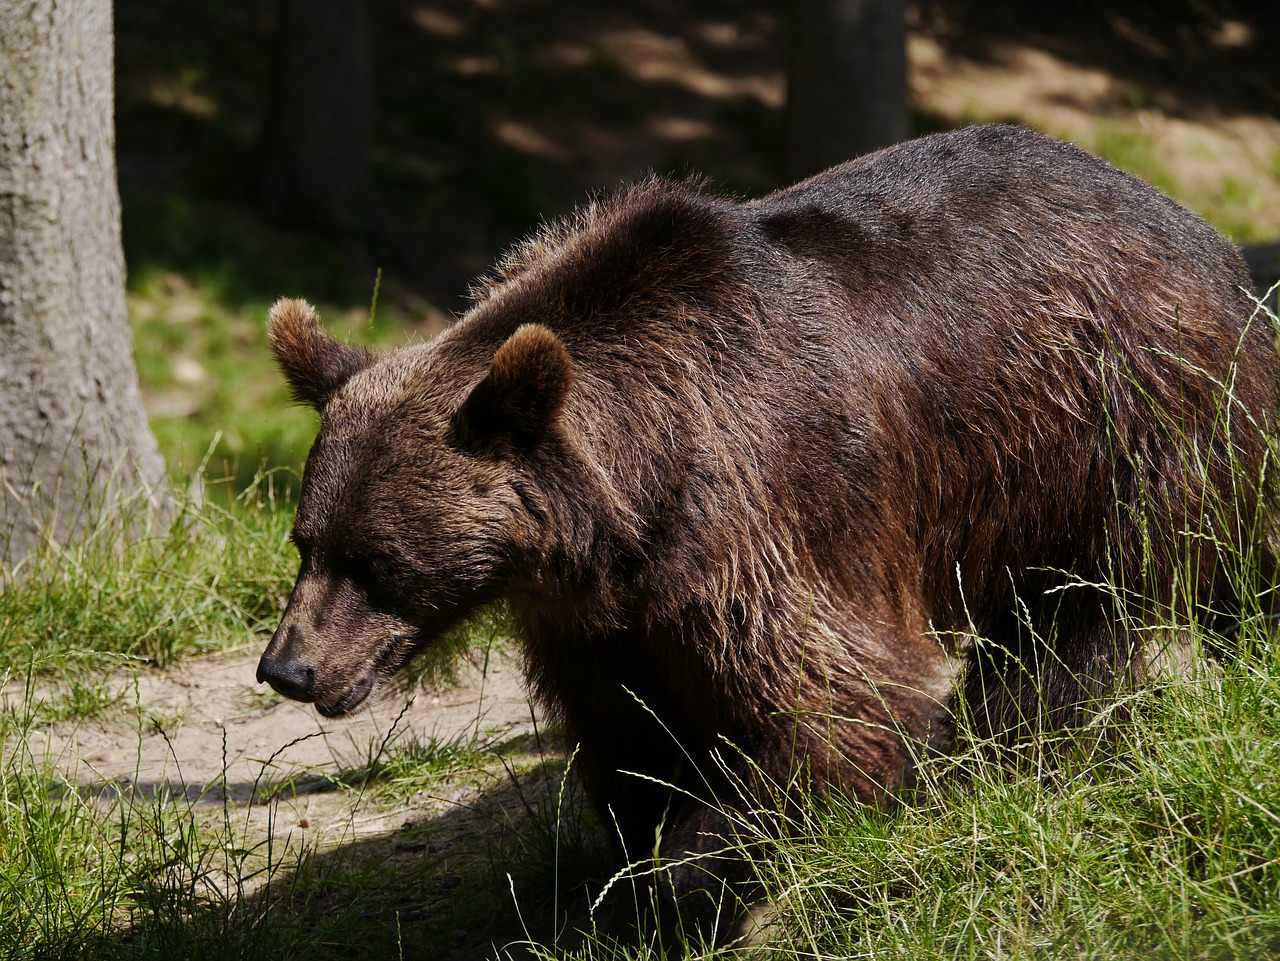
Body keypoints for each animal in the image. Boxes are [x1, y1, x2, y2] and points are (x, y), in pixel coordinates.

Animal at [254, 124, 1274, 941]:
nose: (289, 667)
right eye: (306, 541)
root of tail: (1206, 237)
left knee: (1087, 621)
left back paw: (1018, 750)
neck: (631, 510)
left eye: (377, 560)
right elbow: (631, 737)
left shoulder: (769, 514)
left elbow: (838, 705)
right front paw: (632, 861)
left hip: (1115, 421)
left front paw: (694, 872)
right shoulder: (605, 620)